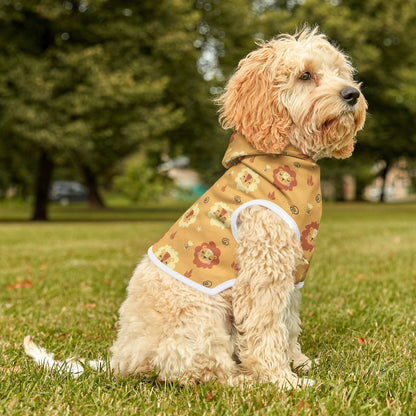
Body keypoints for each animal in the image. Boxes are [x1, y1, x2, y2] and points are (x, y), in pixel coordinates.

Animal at [24, 27, 366, 388]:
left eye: (340, 72)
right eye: (305, 75)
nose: (352, 94)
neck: (288, 161)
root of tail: (121, 359)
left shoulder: (291, 272)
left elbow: (288, 324)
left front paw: (298, 363)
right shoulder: (263, 270)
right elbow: (266, 328)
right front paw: (281, 380)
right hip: (202, 317)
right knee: (199, 371)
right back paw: (244, 380)